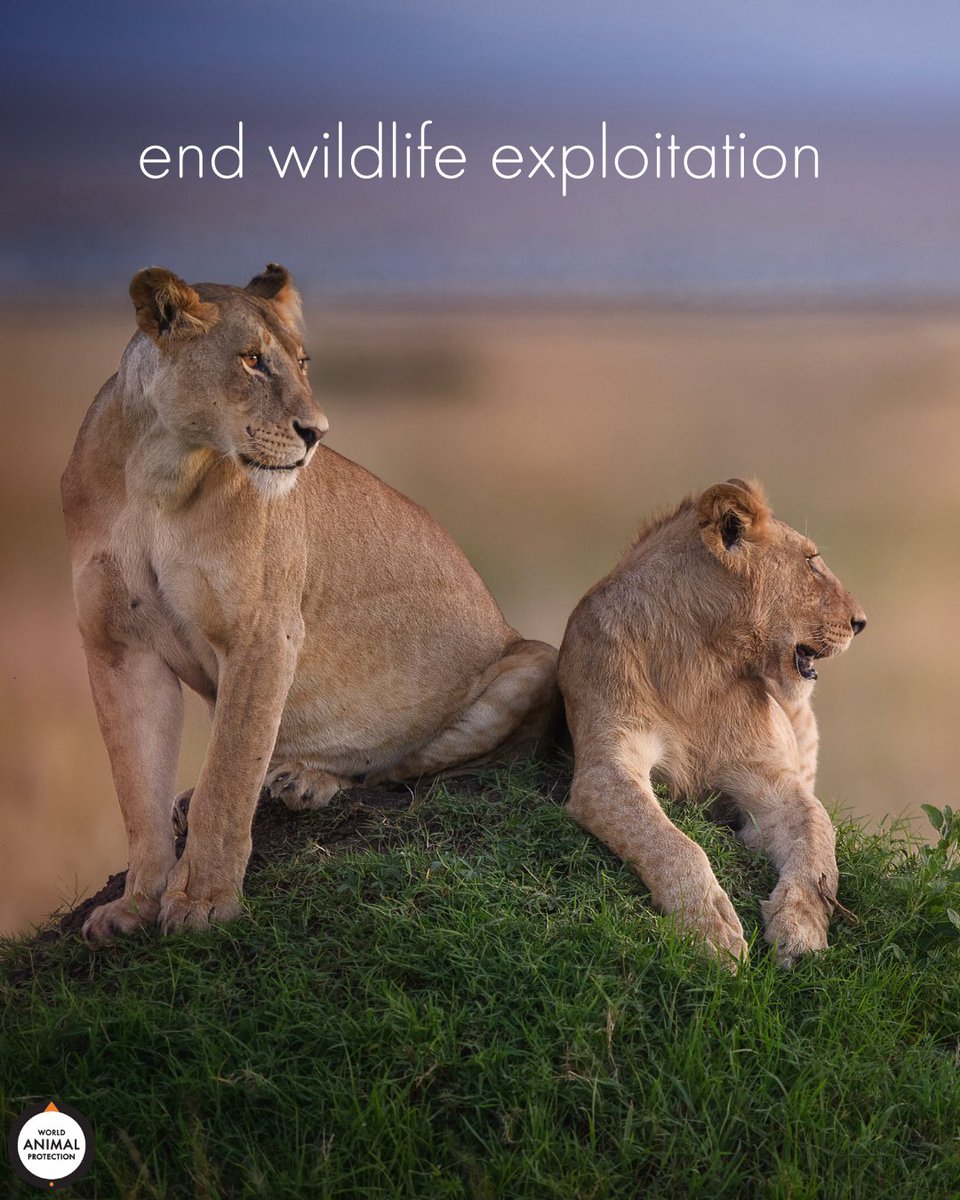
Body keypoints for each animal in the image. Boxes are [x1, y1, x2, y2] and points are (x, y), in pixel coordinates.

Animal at [62, 264, 559, 942]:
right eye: (251, 361)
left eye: (302, 363)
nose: (317, 433)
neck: (159, 474)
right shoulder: (117, 647)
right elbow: (138, 793)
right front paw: (133, 909)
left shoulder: (264, 633)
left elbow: (229, 777)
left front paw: (202, 902)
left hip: (534, 661)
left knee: (395, 767)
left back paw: (304, 778)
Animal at [557, 479, 866, 968]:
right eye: (811, 562)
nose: (861, 622)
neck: (701, 659)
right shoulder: (607, 765)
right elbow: (669, 842)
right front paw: (710, 928)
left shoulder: (773, 779)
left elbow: (819, 841)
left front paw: (801, 929)